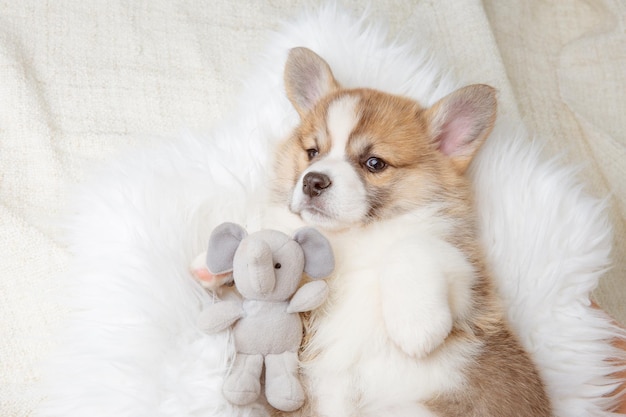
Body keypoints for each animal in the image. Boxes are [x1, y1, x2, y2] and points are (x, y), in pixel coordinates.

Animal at [266, 46, 548, 416]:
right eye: (312, 152)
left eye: (374, 163)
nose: (312, 181)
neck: (356, 236)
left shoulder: (469, 281)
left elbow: (412, 245)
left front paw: (417, 328)